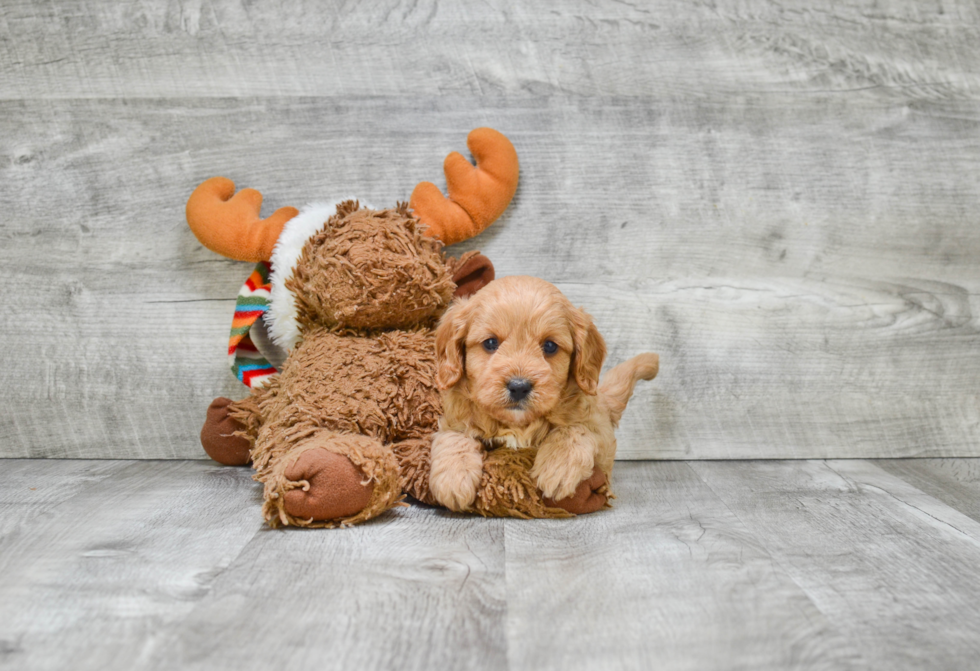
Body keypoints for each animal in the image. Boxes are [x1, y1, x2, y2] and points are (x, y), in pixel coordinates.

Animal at [428, 276, 660, 512]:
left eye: (549, 346)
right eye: (491, 343)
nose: (519, 386)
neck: (518, 424)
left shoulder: (598, 427)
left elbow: (576, 429)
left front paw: (558, 469)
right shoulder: (454, 419)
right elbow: (454, 436)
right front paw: (453, 480)